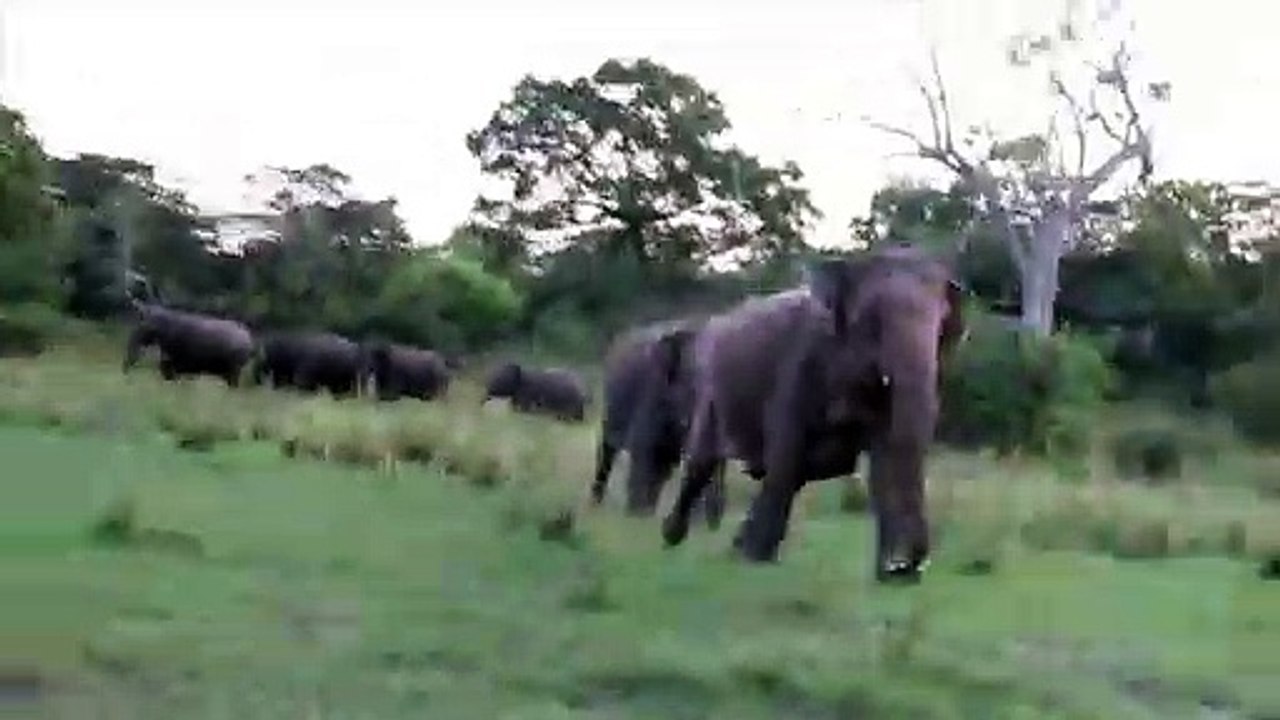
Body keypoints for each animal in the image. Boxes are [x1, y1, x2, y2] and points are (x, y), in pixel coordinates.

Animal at [589, 318, 725, 528]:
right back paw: (596, 506)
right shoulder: (652, 390)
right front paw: (636, 519)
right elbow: (645, 450)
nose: (714, 523)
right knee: (608, 450)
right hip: (610, 405)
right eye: (694, 387)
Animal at [659, 244, 968, 584]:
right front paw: (756, 561)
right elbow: (786, 453)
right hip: (711, 391)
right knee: (702, 463)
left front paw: (891, 580)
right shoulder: (796, 368)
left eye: (942, 324)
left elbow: (882, 461)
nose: (904, 566)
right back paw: (673, 538)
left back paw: (734, 546)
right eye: (873, 320)